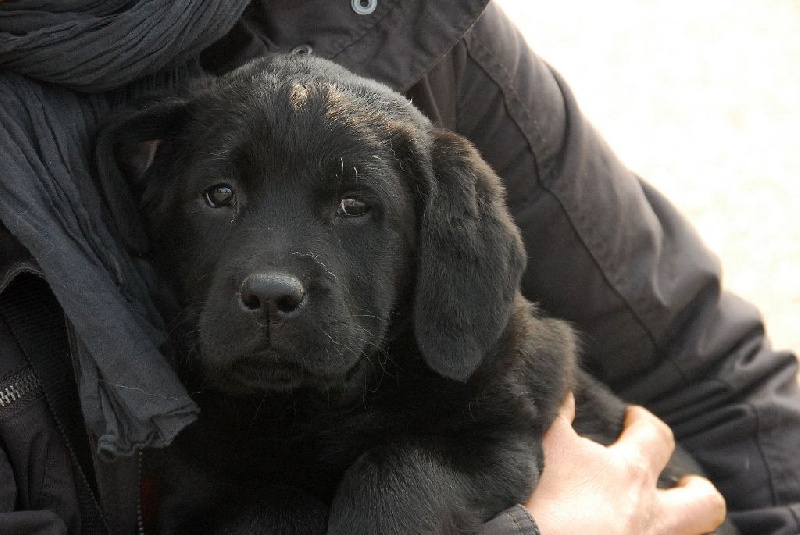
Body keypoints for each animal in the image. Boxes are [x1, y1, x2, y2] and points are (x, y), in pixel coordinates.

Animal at [95, 55, 736, 535]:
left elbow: (399, 468)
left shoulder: (503, 431)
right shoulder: (196, 486)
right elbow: (266, 504)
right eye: (220, 194)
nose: (271, 296)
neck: (315, 409)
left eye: (354, 206)